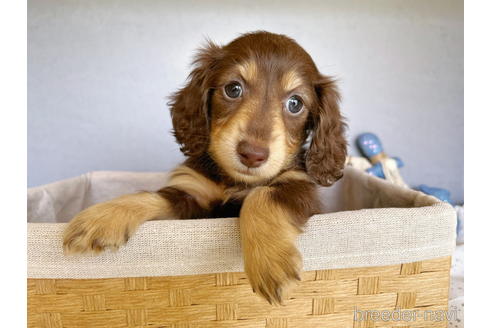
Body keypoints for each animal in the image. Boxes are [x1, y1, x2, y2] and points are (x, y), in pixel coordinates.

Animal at [63, 30, 348, 304]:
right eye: (233, 89)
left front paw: (270, 262)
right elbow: (154, 196)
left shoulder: (300, 186)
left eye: (295, 103)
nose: (252, 154)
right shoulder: (192, 192)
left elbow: (262, 195)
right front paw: (102, 217)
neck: (233, 181)